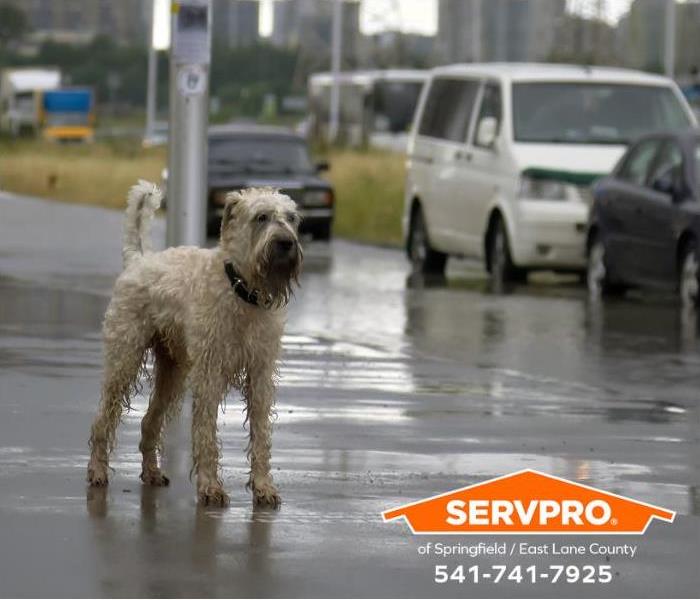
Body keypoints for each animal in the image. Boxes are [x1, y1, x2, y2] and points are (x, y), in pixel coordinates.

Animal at [86, 182, 302, 506]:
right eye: (261, 217)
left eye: (292, 218)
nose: (287, 243)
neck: (241, 291)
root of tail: (139, 260)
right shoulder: (210, 373)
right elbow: (205, 432)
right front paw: (210, 486)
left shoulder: (261, 374)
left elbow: (261, 434)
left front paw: (263, 486)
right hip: (124, 358)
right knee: (104, 419)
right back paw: (98, 471)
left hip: (173, 371)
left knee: (149, 421)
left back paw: (152, 472)